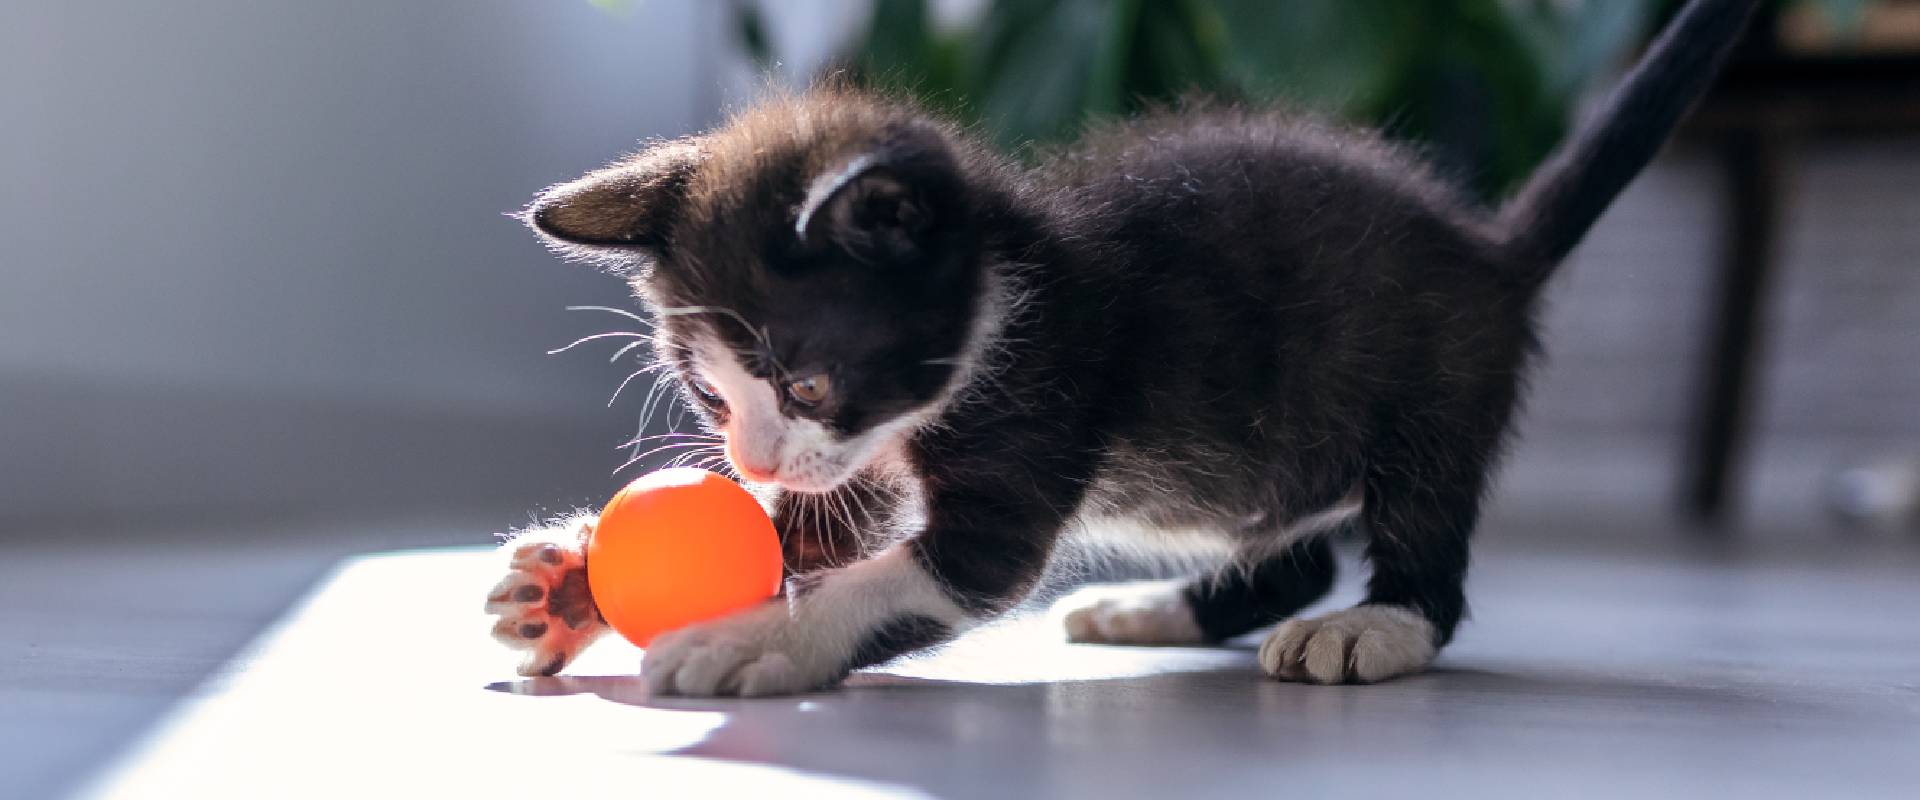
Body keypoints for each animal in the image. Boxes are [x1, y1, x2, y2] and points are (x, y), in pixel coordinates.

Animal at [487, 0, 1758, 690]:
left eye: (805, 378)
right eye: (710, 397)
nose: (746, 458)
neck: (1006, 295)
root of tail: (1489, 246)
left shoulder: (1044, 401)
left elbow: (923, 567)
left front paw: (759, 636)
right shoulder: (859, 455)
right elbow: (816, 524)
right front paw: (569, 585)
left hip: (1435, 384)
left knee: (1423, 536)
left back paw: (1376, 622)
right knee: (1288, 549)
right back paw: (1156, 609)